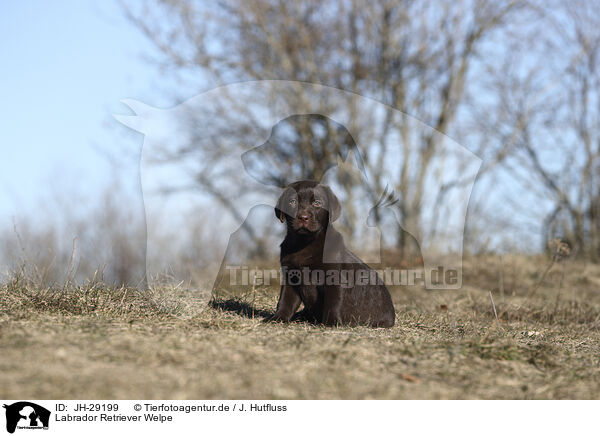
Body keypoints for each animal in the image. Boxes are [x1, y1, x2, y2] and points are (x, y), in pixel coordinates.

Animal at [270, 179, 396, 326]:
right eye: (292, 202)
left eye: (317, 203)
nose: (303, 217)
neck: (304, 242)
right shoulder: (290, 276)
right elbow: (285, 301)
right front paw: (278, 318)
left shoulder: (334, 277)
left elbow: (333, 302)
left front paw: (331, 322)